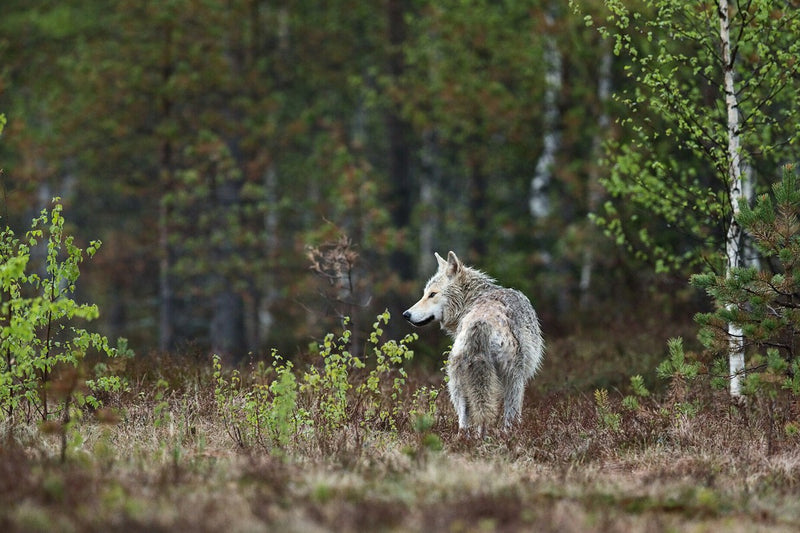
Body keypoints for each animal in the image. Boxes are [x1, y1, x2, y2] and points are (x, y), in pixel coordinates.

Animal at [403, 251, 544, 436]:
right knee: (507, 417)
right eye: (425, 293)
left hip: (457, 382)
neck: (472, 299)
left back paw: (466, 439)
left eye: (432, 294)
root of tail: (480, 322)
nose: (406, 314)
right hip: (512, 379)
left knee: (464, 421)